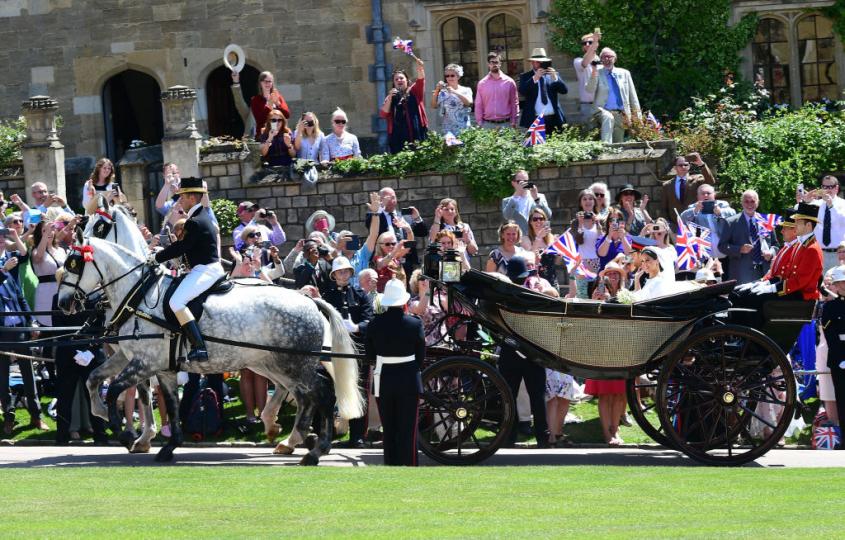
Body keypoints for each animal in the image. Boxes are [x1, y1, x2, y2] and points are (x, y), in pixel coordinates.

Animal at [57, 237, 362, 464]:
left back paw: (315, 450)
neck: (140, 297)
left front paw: (125, 435)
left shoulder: (144, 363)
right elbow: (104, 381)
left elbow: (115, 391)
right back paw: (292, 438)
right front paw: (166, 445)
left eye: (72, 264)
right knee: (305, 394)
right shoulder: (153, 364)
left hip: (292, 364)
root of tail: (308, 299)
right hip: (276, 363)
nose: (62, 303)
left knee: (321, 393)